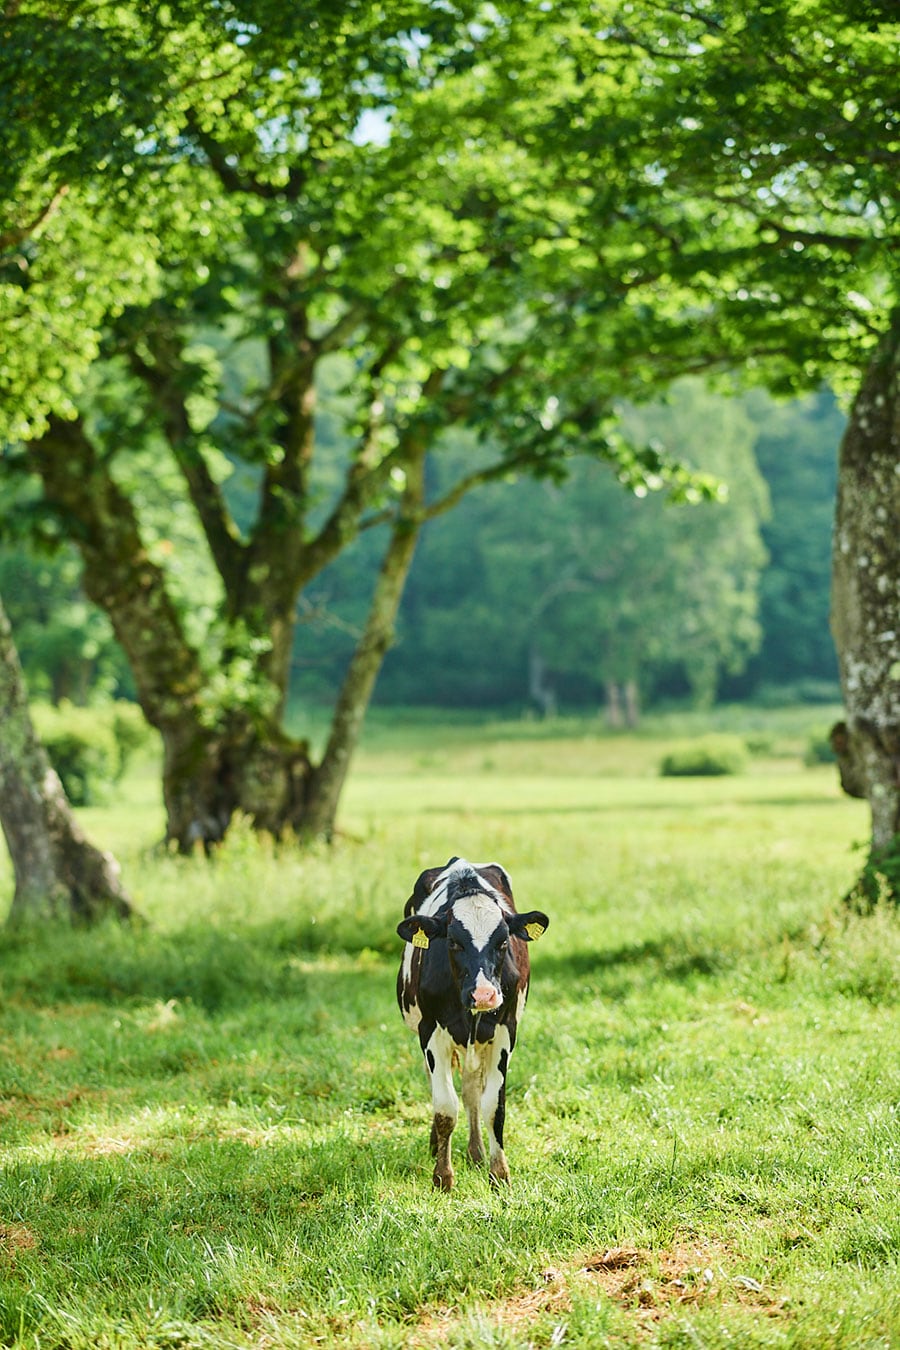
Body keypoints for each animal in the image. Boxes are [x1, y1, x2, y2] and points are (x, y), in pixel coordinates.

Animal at [396, 858, 550, 1188]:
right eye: (454, 942)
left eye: (503, 941)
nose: (484, 995)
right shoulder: (431, 1032)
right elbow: (444, 1108)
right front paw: (442, 1177)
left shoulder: (505, 1033)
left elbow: (494, 1107)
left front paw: (499, 1173)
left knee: (471, 1094)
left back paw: (476, 1151)